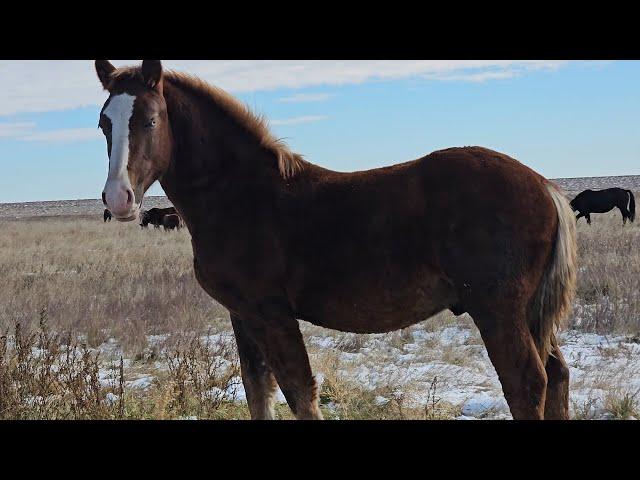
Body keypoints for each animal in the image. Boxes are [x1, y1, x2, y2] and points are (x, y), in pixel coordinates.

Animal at [96, 60, 580, 420]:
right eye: (103, 124)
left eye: (150, 120)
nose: (118, 198)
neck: (240, 194)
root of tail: (545, 187)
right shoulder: (242, 313)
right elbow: (258, 391)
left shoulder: (272, 312)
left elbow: (299, 392)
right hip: (528, 313)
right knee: (556, 376)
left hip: (497, 310)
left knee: (526, 382)